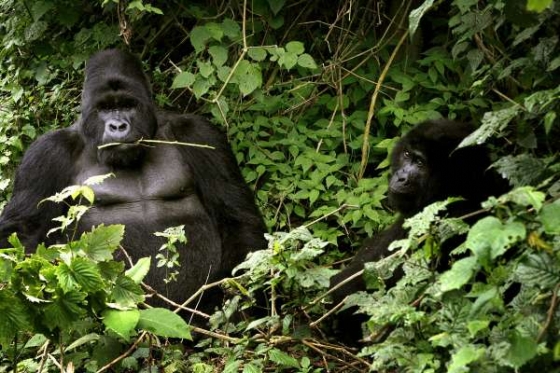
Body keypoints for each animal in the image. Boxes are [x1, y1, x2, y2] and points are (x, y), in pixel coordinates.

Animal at [0, 48, 268, 314]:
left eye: (128, 105)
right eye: (105, 108)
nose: (118, 126)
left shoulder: (200, 135)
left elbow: (237, 219)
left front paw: (238, 299)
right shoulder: (46, 154)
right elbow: (23, 231)